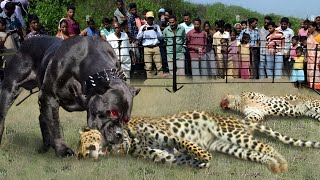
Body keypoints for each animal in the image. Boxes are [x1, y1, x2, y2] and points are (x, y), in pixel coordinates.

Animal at [0, 35, 140, 157]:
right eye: (113, 113)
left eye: (126, 120)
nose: (120, 135)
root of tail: (23, 44)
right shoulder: (49, 96)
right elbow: (56, 126)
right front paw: (63, 150)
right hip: (10, 89)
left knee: (42, 118)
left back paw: (46, 146)